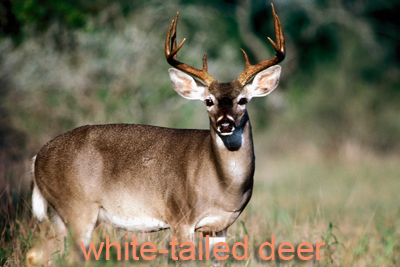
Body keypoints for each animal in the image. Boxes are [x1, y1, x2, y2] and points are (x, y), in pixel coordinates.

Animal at [26, 3, 284, 266]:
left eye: (242, 100)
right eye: (208, 101)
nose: (225, 124)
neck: (224, 187)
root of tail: (37, 159)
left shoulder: (219, 227)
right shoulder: (180, 216)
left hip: (60, 215)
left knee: (37, 253)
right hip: (77, 207)